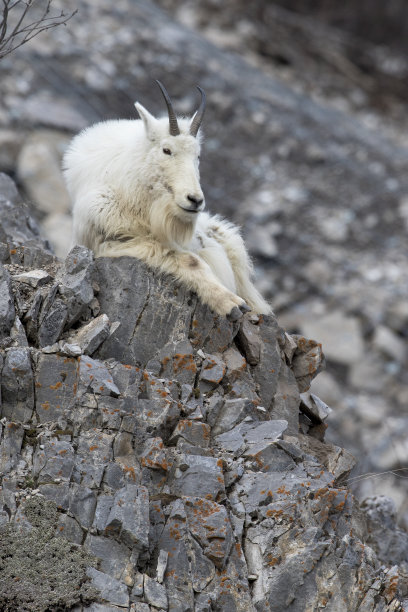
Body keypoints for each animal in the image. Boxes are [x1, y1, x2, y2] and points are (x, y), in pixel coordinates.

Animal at [63, 81, 270, 320]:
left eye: (198, 156)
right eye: (166, 150)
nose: (195, 200)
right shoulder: (109, 238)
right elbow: (189, 260)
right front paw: (230, 303)